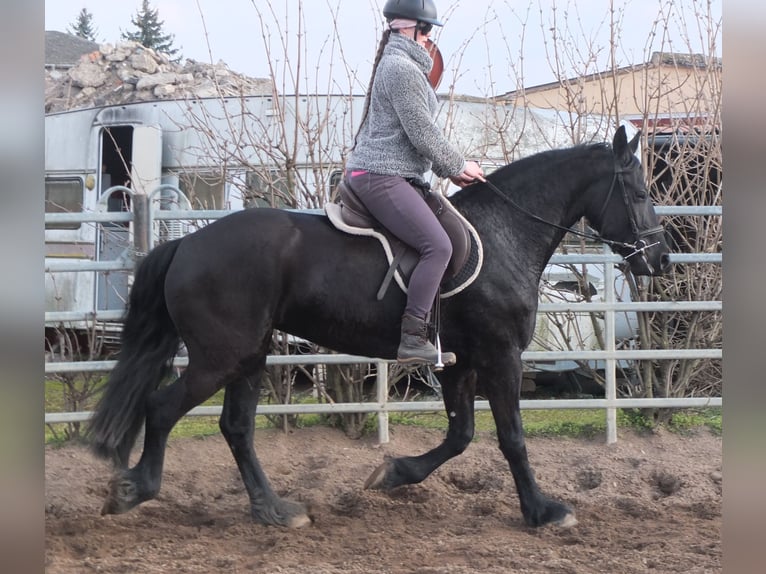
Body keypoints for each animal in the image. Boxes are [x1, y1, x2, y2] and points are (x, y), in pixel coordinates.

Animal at [87, 126, 668, 532]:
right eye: (640, 193)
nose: (659, 259)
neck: (503, 235)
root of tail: (186, 244)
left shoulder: (457, 363)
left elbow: (460, 435)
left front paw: (393, 474)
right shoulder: (500, 356)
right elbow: (511, 437)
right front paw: (542, 511)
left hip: (249, 355)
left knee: (236, 427)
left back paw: (274, 510)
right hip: (220, 357)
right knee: (163, 408)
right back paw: (135, 489)